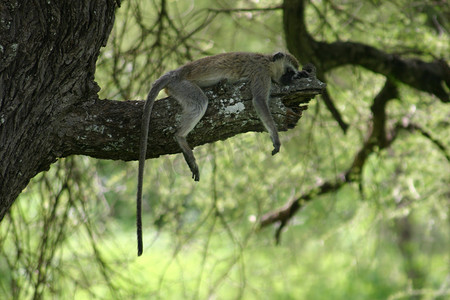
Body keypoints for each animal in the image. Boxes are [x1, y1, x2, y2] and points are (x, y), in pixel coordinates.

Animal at [135, 51, 308, 255]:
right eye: (288, 72)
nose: (289, 80)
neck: (267, 61)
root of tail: (176, 72)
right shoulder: (261, 74)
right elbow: (259, 101)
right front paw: (275, 137)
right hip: (182, 86)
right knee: (200, 102)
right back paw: (181, 138)